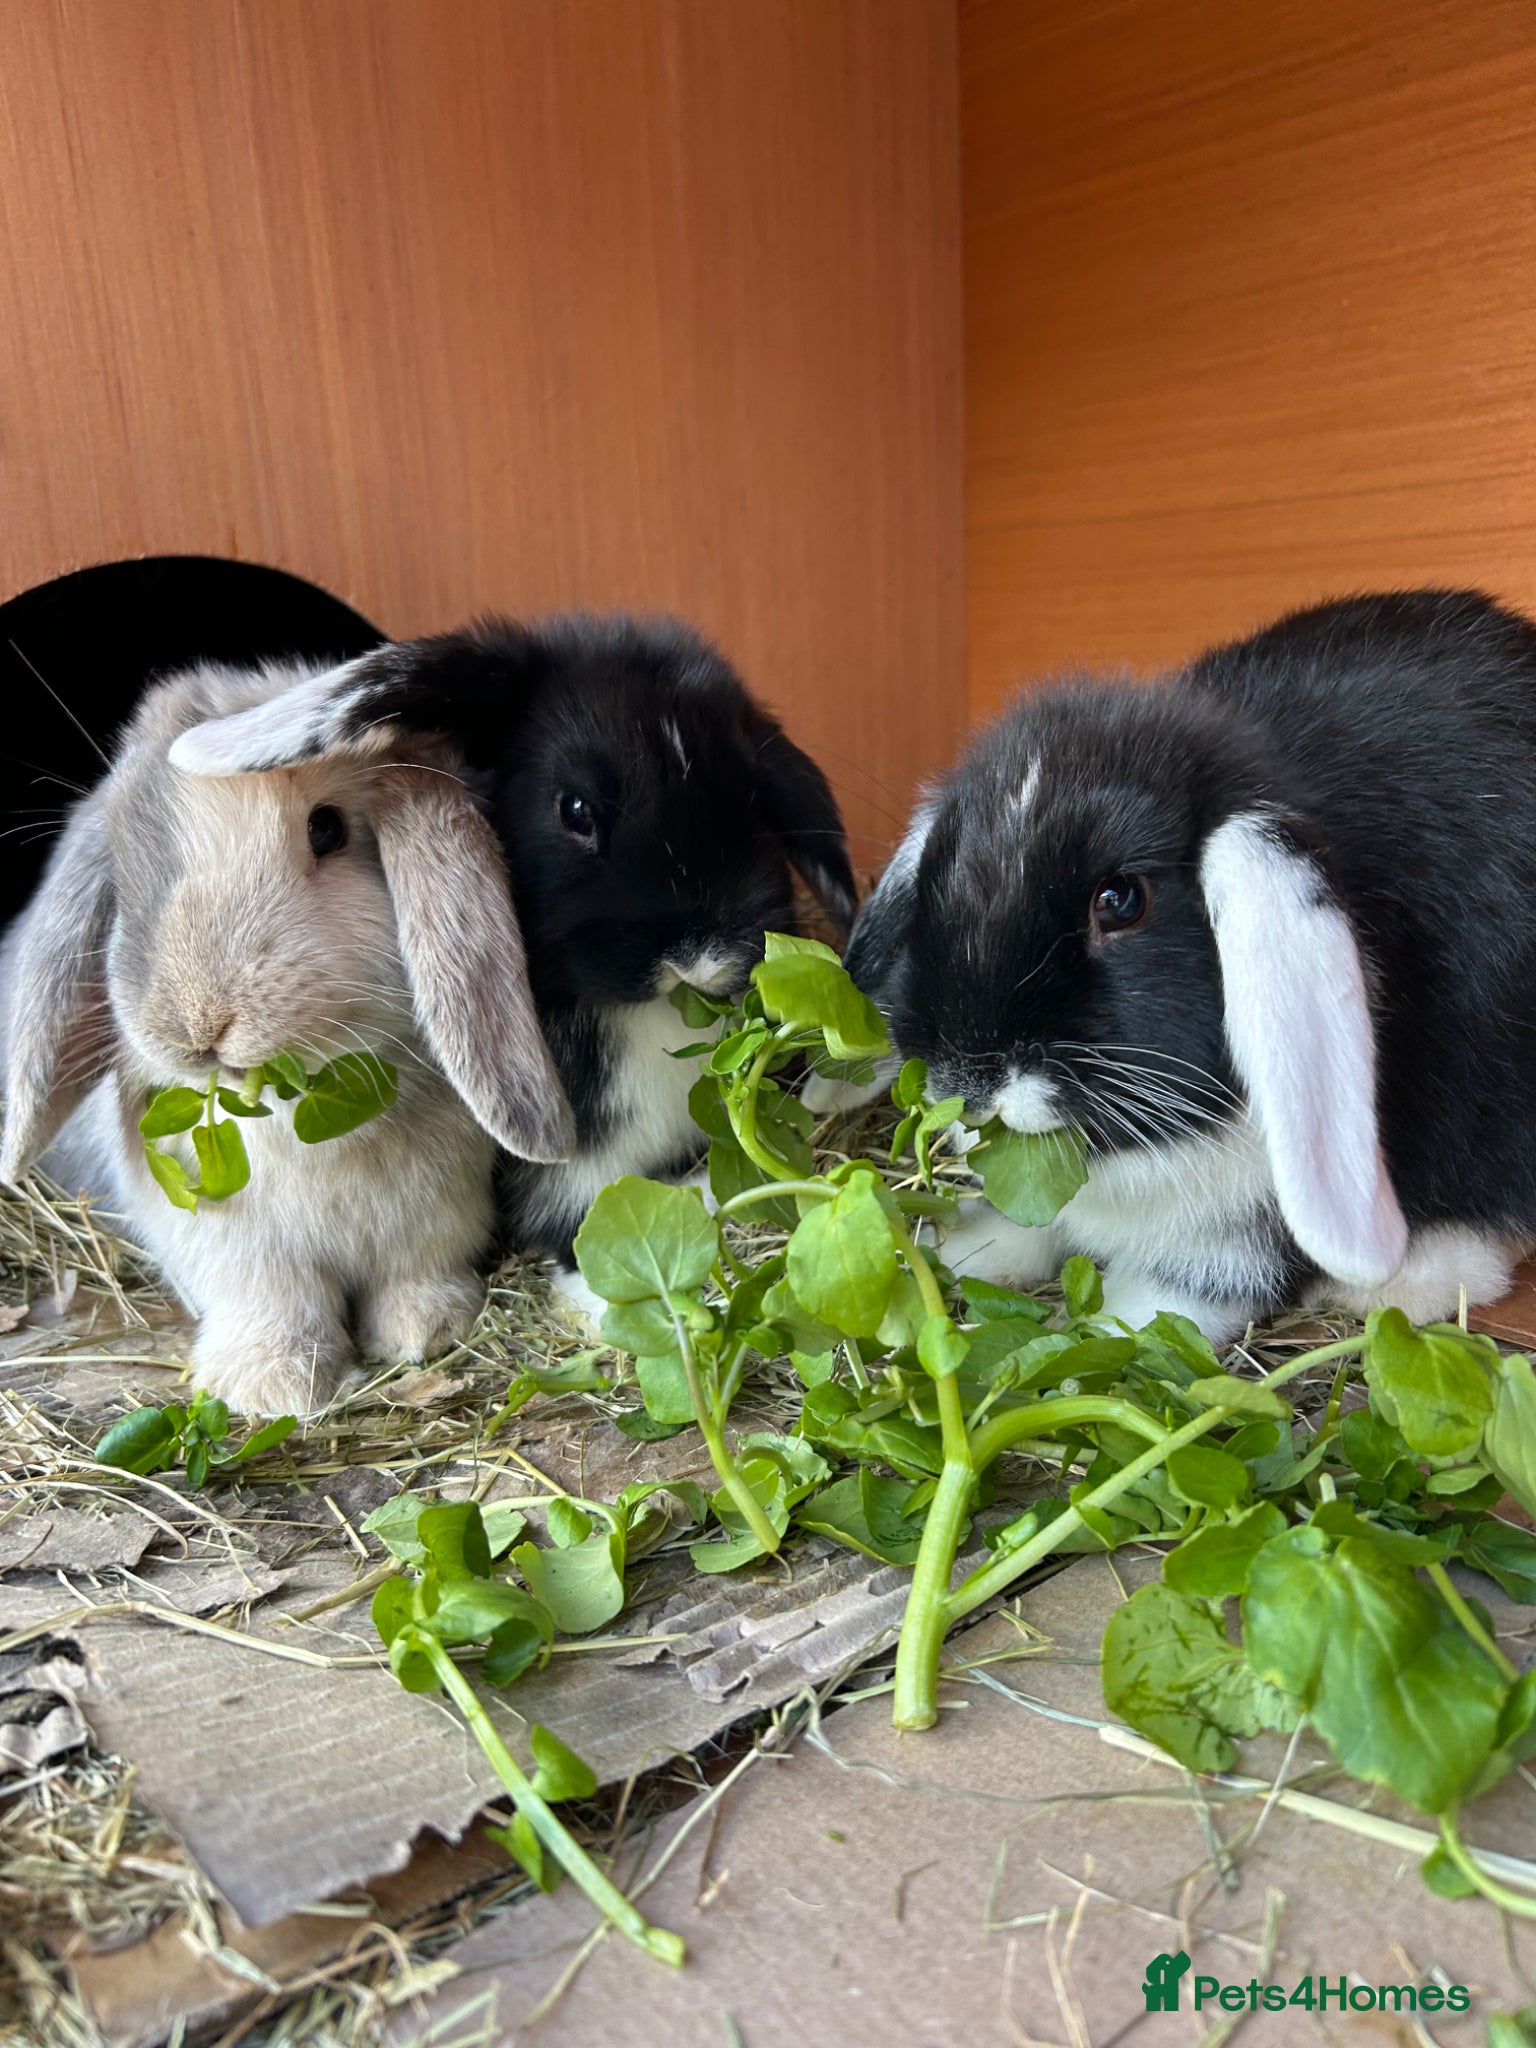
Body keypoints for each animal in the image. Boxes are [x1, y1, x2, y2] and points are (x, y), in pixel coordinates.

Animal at [0, 660, 573, 1415]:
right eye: (127, 864)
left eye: (326, 828)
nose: (198, 1025)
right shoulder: (227, 1247)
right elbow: (269, 1302)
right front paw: (273, 1386)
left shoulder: (438, 1219)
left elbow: (418, 1272)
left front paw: (425, 1329)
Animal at [166, 613, 857, 1316]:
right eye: (573, 809)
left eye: (752, 799)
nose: (699, 956)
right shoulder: (572, 1173)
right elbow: (582, 1230)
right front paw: (613, 1300)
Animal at [809, 589, 1536, 1344]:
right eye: (937, 879)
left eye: (1121, 900)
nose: (967, 1083)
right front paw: (965, 1247)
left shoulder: (1237, 1237)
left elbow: (1179, 1297)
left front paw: (1101, 1334)